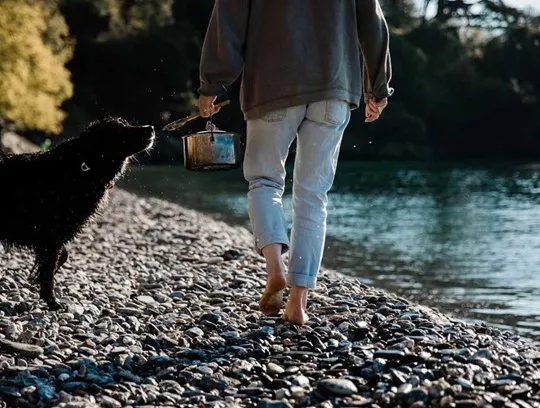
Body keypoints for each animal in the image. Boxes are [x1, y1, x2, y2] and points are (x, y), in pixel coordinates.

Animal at [0, 117, 156, 310]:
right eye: (120, 130)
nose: (151, 128)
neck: (84, 167)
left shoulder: (54, 236)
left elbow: (61, 257)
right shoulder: (51, 235)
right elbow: (50, 267)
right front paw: (52, 301)